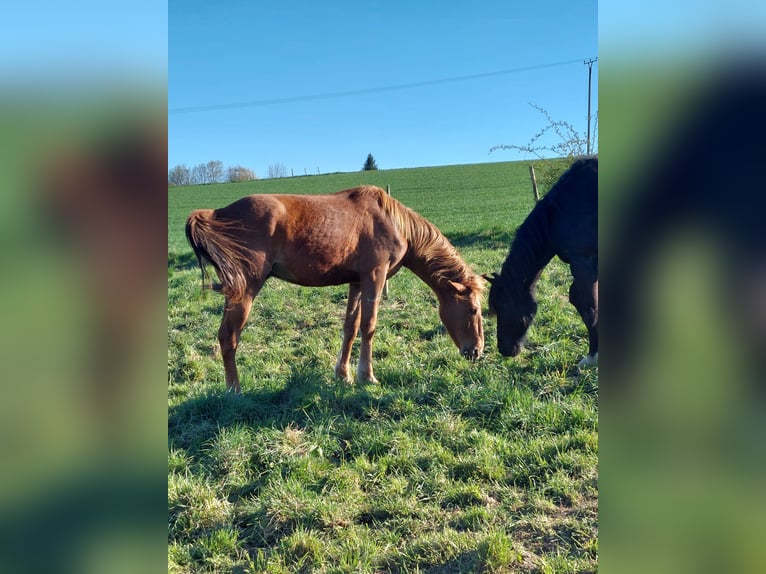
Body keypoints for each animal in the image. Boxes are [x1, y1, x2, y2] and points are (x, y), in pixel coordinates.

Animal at [186, 187, 486, 394]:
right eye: (473, 310)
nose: (477, 351)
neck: (392, 222)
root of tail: (218, 214)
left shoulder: (356, 282)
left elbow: (350, 327)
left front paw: (343, 375)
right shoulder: (374, 278)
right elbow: (369, 326)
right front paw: (367, 376)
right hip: (245, 290)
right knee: (228, 337)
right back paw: (234, 391)